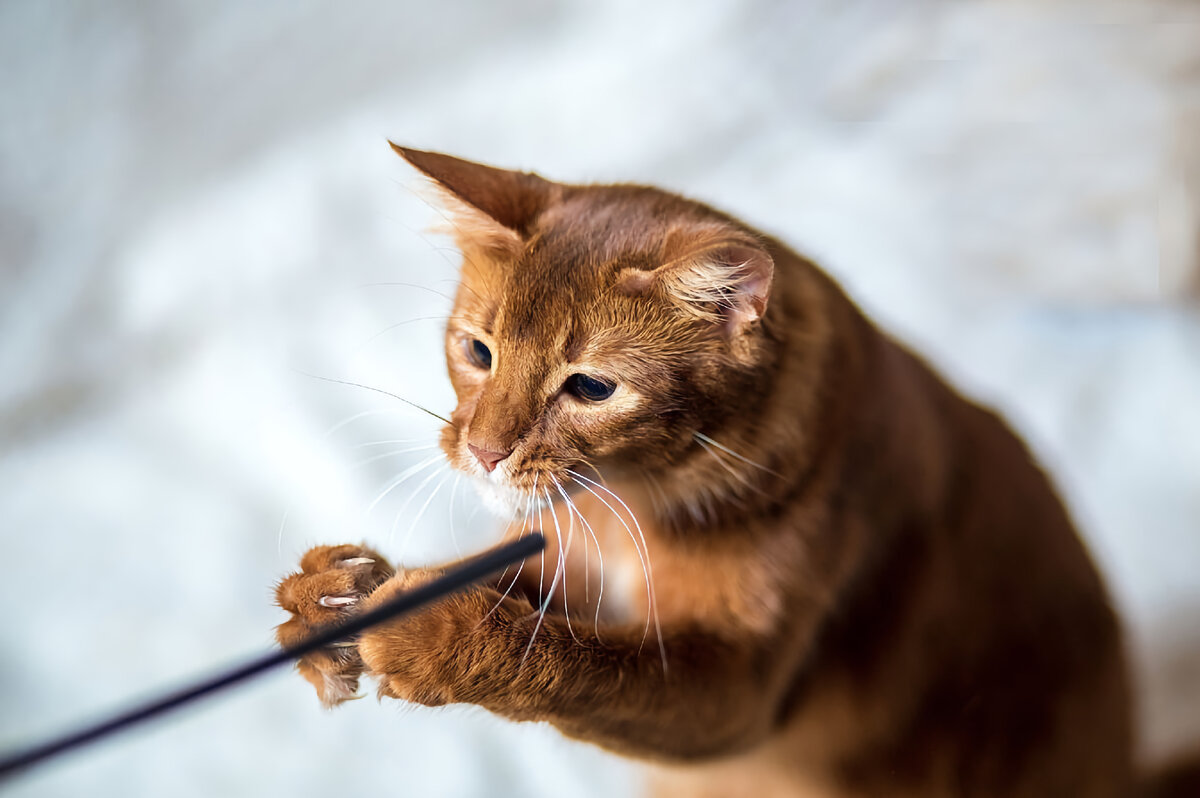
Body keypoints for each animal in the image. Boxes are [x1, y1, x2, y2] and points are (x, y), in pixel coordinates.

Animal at [274, 146, 1190, 792]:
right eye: (476, 351)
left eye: (592, 388)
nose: (485, 451)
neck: (635, 502)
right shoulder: (573, 558)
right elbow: (499, 582)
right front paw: (330, 597)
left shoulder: (737, 695)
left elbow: (570, 661)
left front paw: (431, 633)